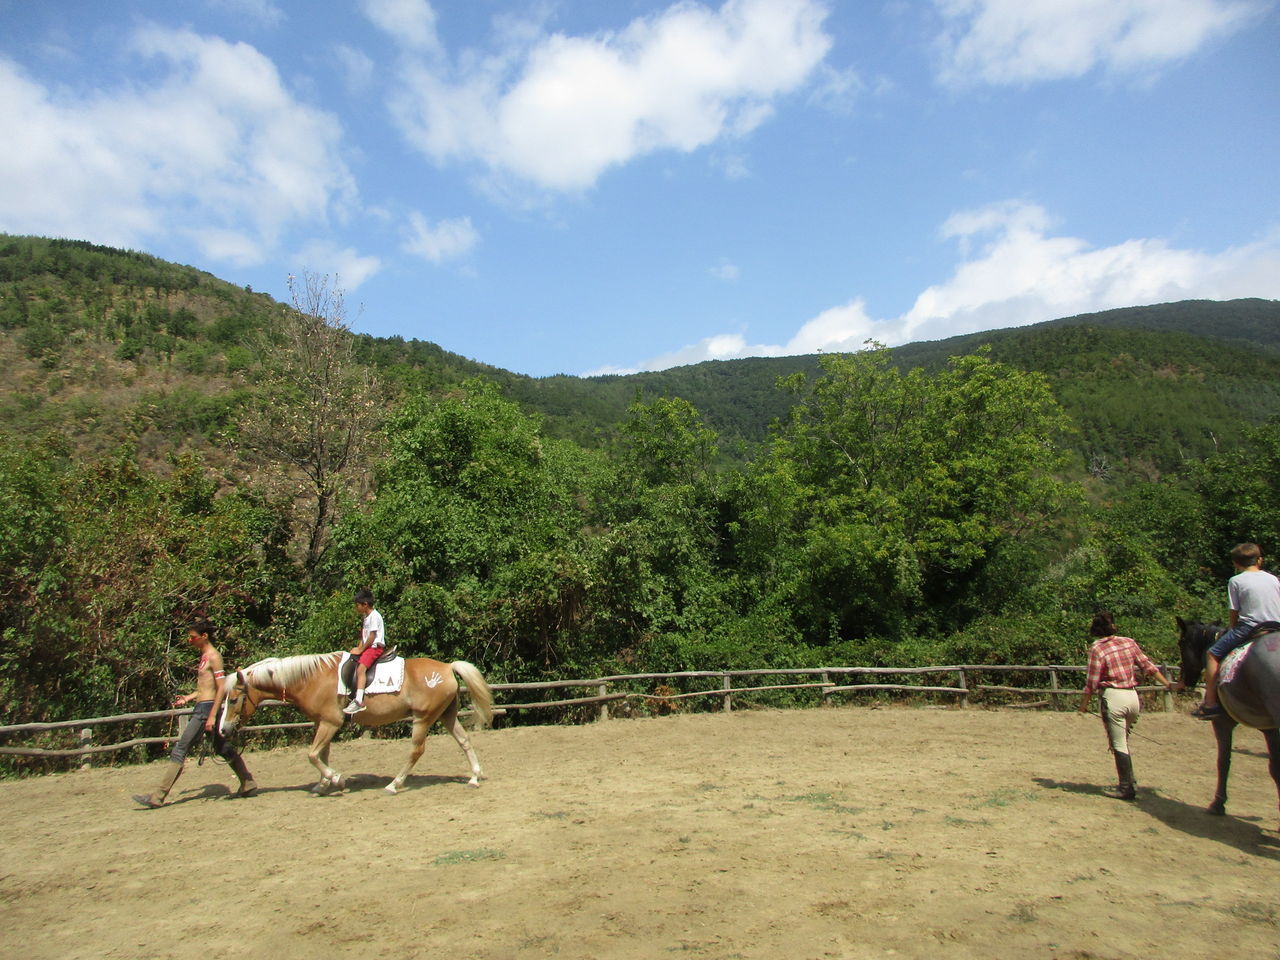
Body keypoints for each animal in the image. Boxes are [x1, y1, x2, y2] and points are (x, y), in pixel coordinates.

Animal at [218, 651, 494, 795]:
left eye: (233, 699)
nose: (223, 729)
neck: (313, 679)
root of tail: (447, 667)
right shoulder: (322, 723)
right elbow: (322, 754)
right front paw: (323, 784)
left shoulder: (330, 722)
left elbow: (312, 755)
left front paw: (336, 779)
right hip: (446, 715)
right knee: (464, 740)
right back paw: (474, 777)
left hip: (422, 718)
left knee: (416, 751)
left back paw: (394, 784)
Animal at [1175, 617, 1280, 820]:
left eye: (1181, 643)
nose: (1185, 679)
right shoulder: (1270, 728)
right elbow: (1274, 768)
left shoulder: (1222, 722)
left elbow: (1223, 761)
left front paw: (1217, 804)